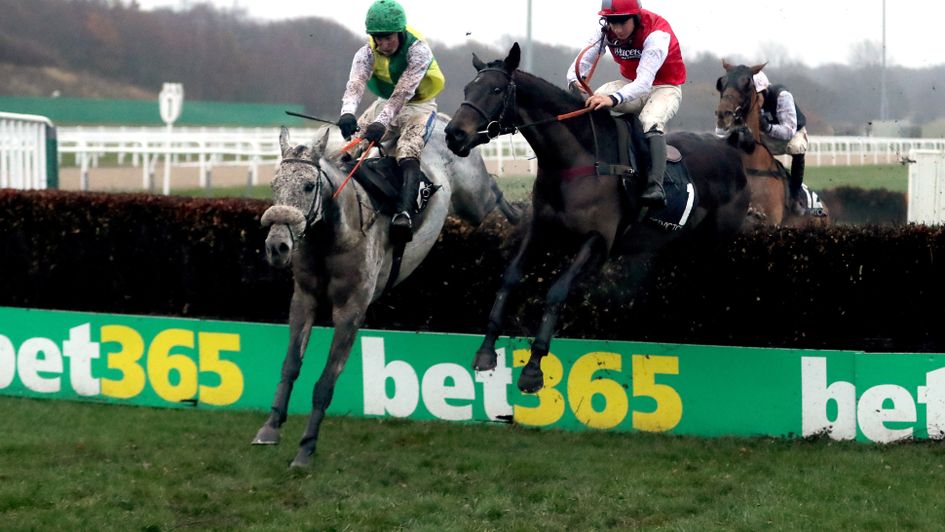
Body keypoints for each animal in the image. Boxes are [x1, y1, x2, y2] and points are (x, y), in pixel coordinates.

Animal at [247, 119, 520, 466]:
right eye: (274, 185)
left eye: (309, 186)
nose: (277, 247)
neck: (334, 236)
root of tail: (446, 123)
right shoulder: (304, 299)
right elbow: (290, 364)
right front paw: (270, 427)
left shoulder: (351, 310)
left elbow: (325, 382)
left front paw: (306, 447)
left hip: (474, 199)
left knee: (495, 194)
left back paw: (523, 218)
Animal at [444, 43, 752, 394]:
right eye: (467, 89)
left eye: (495, 90)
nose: (454, 134)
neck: (576, 160)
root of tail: (731, 150)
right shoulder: (541, 228)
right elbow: (510, 276)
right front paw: (485, 351)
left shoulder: (598, 241)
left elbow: (557, 291)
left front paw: (533, 368)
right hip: (679, 245)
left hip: (714, 243)